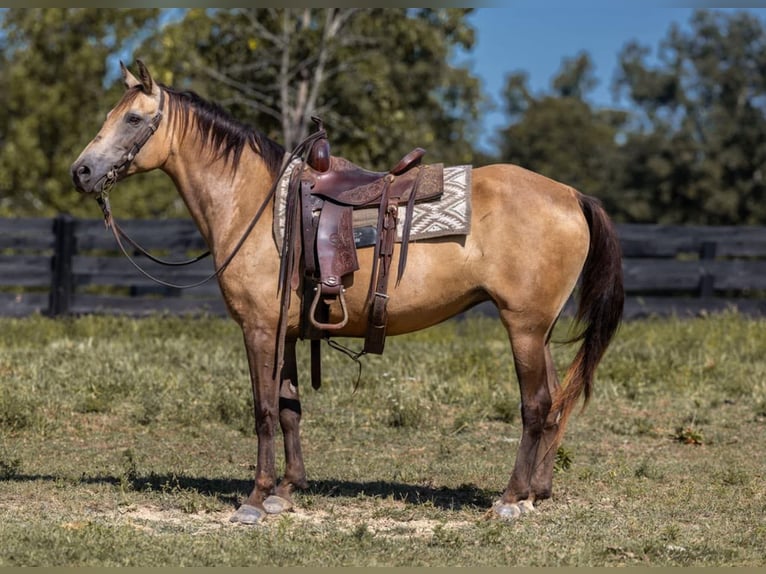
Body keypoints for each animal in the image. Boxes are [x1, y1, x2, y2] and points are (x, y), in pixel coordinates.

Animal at [70, 59, 624, 528]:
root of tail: (571, 195)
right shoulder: (288, 332)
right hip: (540, 330)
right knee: (553, 405)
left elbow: (263, 409)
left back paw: (509, 500)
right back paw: (535, 494)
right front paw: (286, 492)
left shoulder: (259, 329)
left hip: (524, 326)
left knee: (535, 405)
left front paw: (255, 498)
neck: (253, 203)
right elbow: (289, 408)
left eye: (134, 119)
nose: (81, 172)